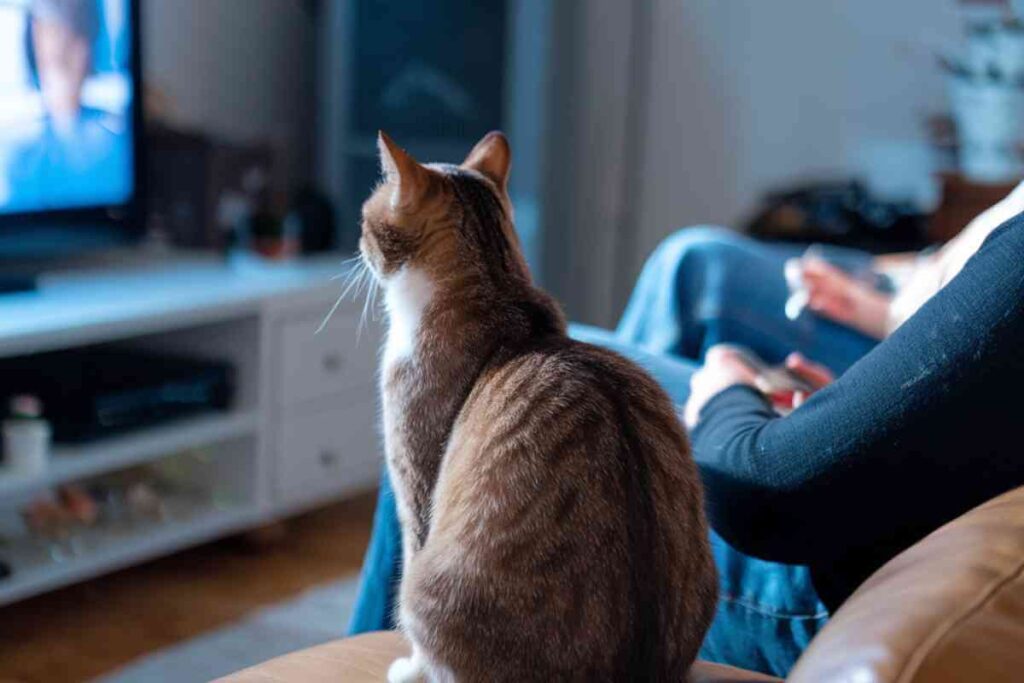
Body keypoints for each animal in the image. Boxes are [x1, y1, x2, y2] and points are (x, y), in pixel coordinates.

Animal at [362, 131, 720, 679]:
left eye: (365, 218)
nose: (356, 241)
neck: (501, 296)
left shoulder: (415, 486)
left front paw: (409, 669)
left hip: (426, 591)